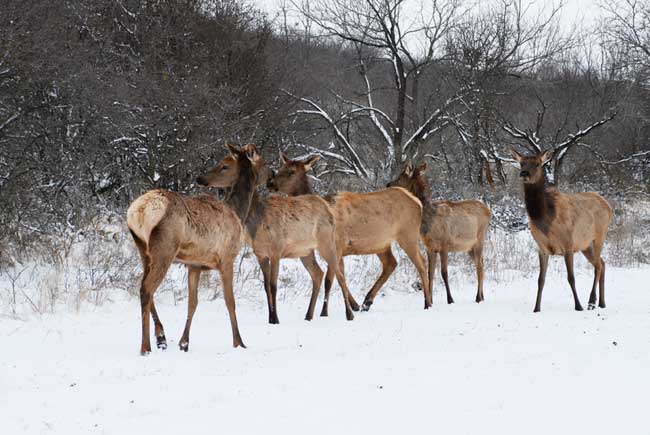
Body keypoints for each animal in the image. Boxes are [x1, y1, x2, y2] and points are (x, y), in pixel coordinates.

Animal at [126, 145, 264, 356]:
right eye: (224, 164)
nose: (201, 179)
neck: (238, 214)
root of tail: (139, 211)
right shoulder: (227, 258)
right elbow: (230, 301)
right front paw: (239, 342)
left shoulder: (194, 264)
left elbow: (193, 303)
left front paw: (184, 343)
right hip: (164, 248)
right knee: (146, 289)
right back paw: (146, 346)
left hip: (143, 248)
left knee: (142, 286)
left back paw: (161, 337)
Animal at [197, 146, 354, 324]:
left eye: (225, 166)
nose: (200, 178)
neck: (256, 222)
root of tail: (326, 207)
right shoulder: (260, 253)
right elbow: (266, 286)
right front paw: (270, 318)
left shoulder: (276, 250)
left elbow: (273, 285)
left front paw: (276, 319)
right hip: (305, 251)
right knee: (318, 273)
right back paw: (308, 315)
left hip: (326, 243)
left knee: (339, 274)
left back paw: (349, 314)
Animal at [266, 152, 432, 314]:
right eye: (280, 168)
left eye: (291, 171)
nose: (270, 183)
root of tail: (417, 202)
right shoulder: (339, 250)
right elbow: (341, 277)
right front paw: (354, 305)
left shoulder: (336, 245)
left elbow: (329, 281)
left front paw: (325, 312)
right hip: (381, 243)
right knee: (391, 263)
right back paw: (367, 301)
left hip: (408, 235)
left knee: (421, 262)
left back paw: (427, 302)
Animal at [388, 162, 488, 304]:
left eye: (402, 176)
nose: (388, 184)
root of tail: (489, 211)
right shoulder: (430, 248)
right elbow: (430, 274)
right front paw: (430, 300)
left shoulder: (444, 245)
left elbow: (444, 272)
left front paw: (450, 299)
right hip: (469, 247)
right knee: (482, 264)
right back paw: (482, 296)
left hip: (480, 239)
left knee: (479, 266)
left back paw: (478, 297)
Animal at [508, 151, 612, 314]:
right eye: (521, 163)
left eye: (537, 163)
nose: (524, 173)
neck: (545, 220)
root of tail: (609, 207)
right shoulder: (542, 248)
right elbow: (540, 279)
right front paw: (536, 308)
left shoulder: (568, 244)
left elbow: (571, 277)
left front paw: (578, 306)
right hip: (585, 245)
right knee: (602, 262)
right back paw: (601, 302)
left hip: (600, 235)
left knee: (598, 266)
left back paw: (591, 301)